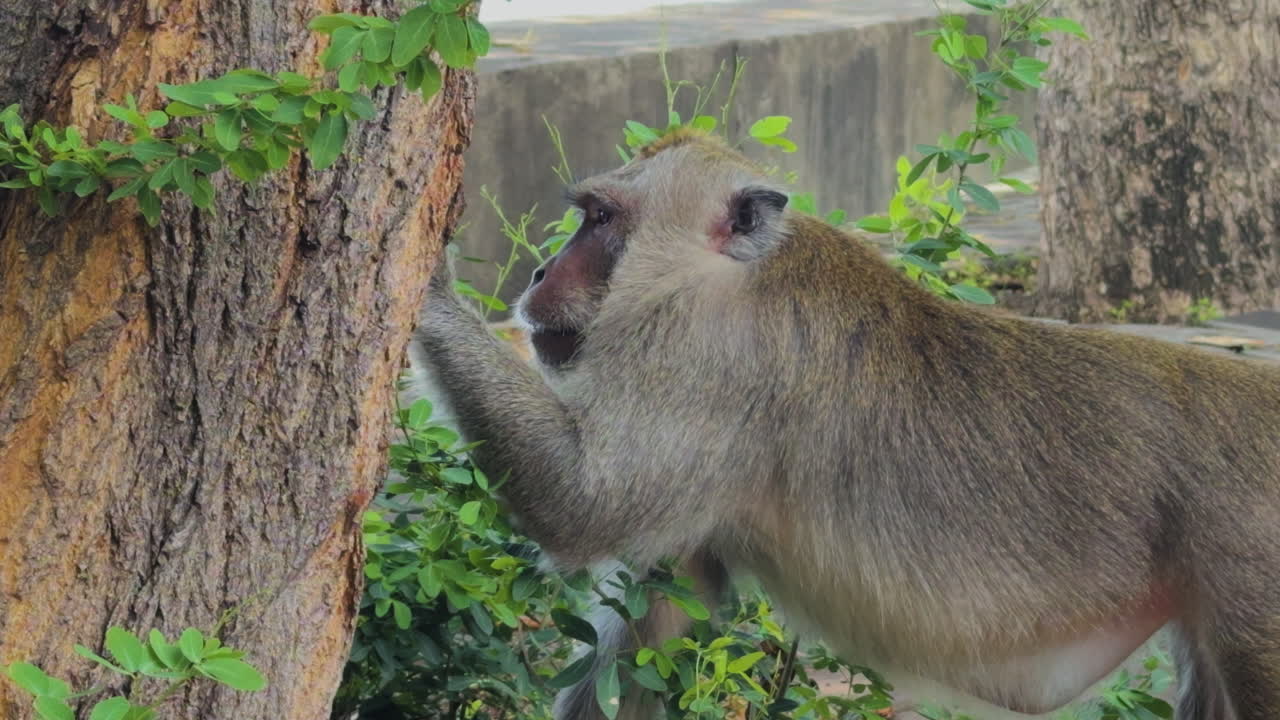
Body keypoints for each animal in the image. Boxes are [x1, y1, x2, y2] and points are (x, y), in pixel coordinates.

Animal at [409, 128, 1280, 720]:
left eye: (599, 220)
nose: (539, 271)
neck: (727, 275)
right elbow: (656, 623)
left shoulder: (700, 360)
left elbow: (585, 506)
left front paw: (427, 285)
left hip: (1254, 581)